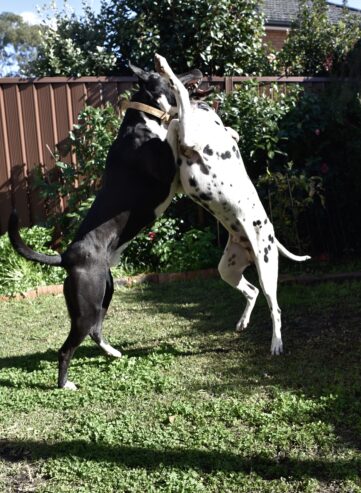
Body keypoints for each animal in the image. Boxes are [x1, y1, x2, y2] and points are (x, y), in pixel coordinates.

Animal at [7, 64, 202, 388]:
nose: (197, 69)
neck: (146, 117)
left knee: (96, 330)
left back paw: (111, 352)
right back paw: (65, 384)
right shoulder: (168, 173)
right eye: (168, 73)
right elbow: (176, 139)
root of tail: (66, 257)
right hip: (87, 305)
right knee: (67, 347)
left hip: (104, 292)